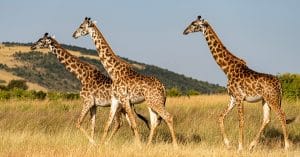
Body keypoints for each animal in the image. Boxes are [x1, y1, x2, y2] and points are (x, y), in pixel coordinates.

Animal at [72, 17, 177, 146]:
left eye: (81, 26)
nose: (74, 34)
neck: (113, 71)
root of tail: (163, 87)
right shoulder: (116, 100)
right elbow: (108, 124)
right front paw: (100, 145)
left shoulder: (125, 99)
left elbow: (134, 124)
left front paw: (139, 146)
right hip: (152, 103)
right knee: (154, 122)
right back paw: (148, 146)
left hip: (155, 102)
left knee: (168, 117)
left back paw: (175, 146)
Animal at [183, 15, 290, 151]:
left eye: (194, 24)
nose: (184, 31)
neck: (227, 69)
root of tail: (279, 84)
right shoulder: (232, 98)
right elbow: (220, 117)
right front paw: (228, 144)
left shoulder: (239, 97)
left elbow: (241, 120)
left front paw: (239, 147)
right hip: (265, 100)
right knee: (266, 119)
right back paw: (251, 145)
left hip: (273, 98)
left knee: (282, 115)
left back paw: (286, 146)